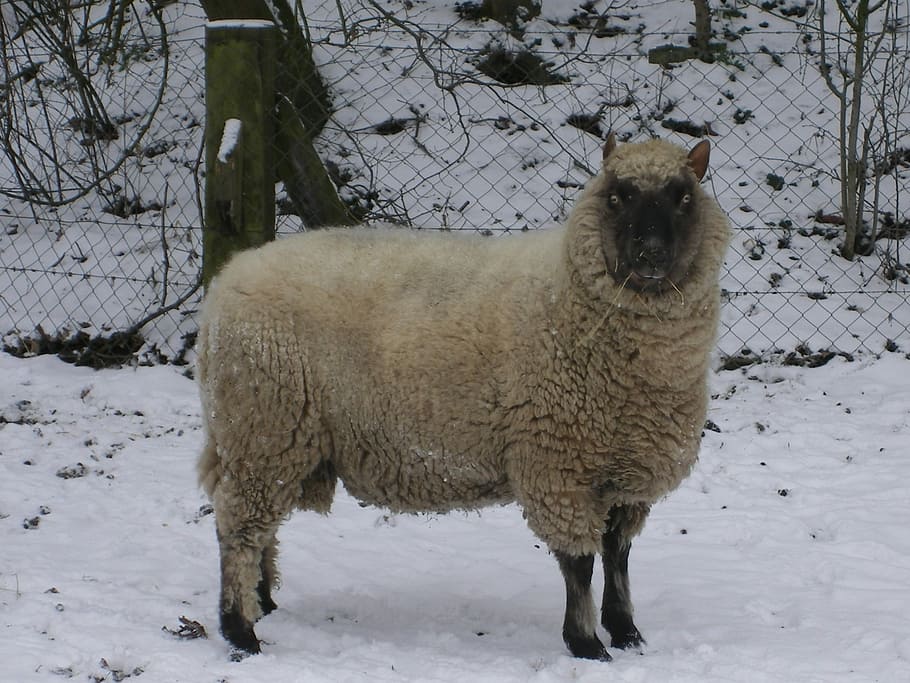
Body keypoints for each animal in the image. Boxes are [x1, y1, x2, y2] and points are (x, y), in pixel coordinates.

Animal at [197, 133, 731, 660]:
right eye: (617, 196)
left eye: (683, 196)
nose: (651, 254)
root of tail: (226, 281)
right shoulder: (557, 463)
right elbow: (579, 563)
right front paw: (585, 643)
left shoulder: (625, 471)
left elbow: (619, 555)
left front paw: (626, 631)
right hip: (263, 424)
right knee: (238, 529)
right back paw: (241, 629)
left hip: (271, 435)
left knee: (260, 527)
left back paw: (264, 601)